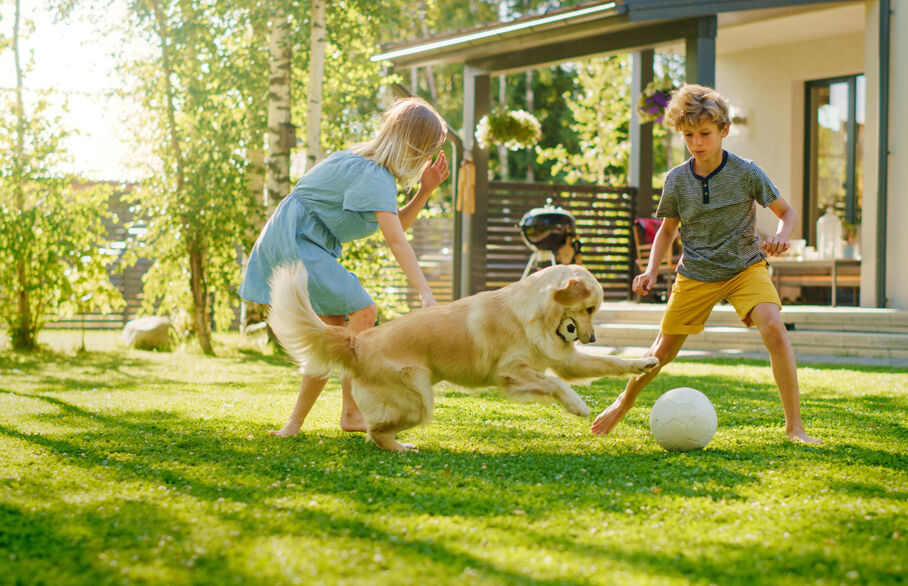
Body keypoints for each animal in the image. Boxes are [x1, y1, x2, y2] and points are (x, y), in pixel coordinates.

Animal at [266, 262, 656, 450]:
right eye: (589, 308)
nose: (592, 337)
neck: (534, 312)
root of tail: (357, 343)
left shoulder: (562, 361)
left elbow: (611, 363)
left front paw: (645, 362)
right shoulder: (510, 372)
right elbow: (555, 384)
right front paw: (577, 405)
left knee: (374, 429)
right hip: (419, 399)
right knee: (375, 430)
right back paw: (400, 447)